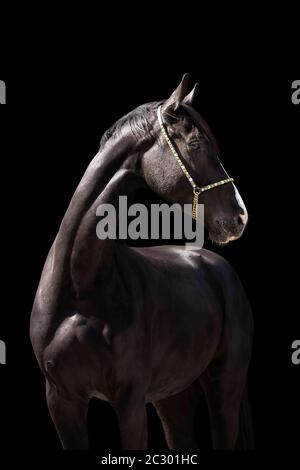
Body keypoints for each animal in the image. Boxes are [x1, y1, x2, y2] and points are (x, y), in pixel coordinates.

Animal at [29, 75, 253, 450]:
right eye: (195, 143)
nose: (239, 217)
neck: (79, 286)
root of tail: (218, 267)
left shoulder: (130, 401)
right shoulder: (61, 400)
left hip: (224, 389)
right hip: (173, 395)